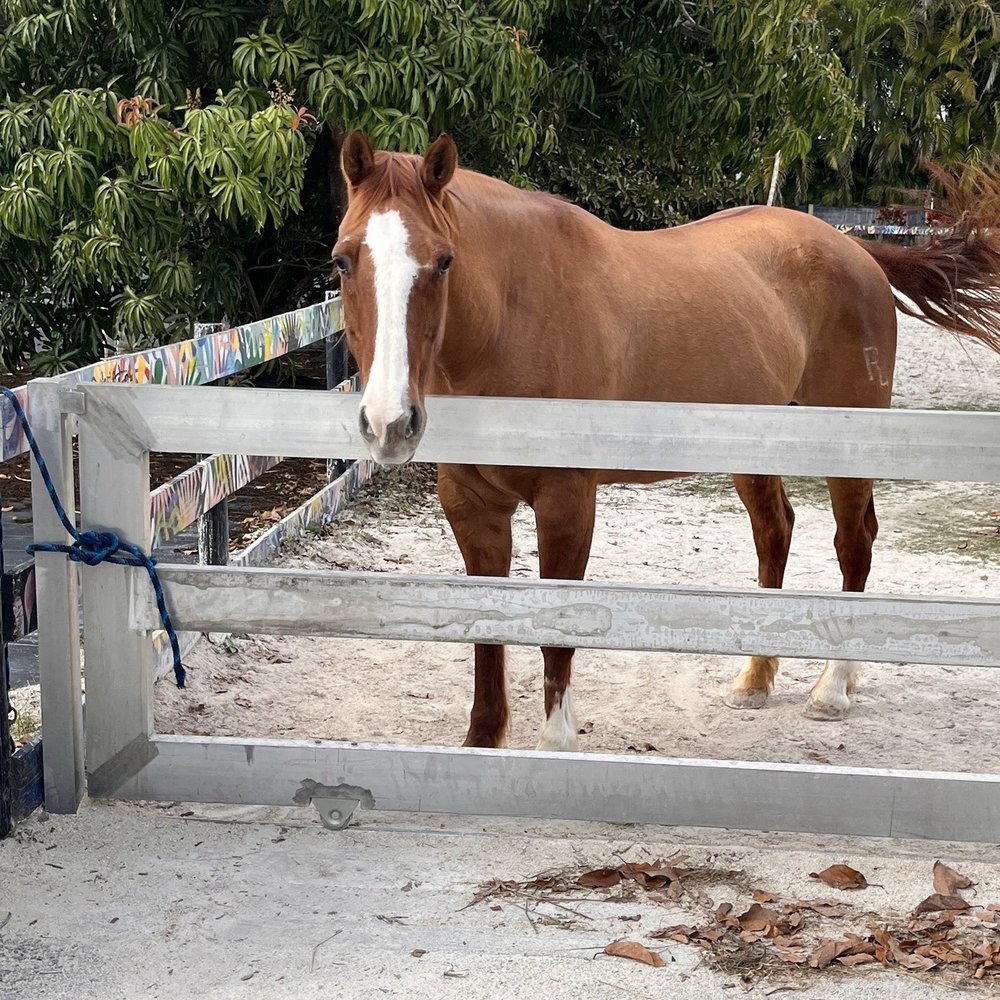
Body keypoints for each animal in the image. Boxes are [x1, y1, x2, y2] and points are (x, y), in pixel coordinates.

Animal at [332, 129, 1000, 751]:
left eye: (444, 261)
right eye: (342, 259)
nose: (389, 422)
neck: (511, 320)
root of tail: (855, 249)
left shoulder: (566, 503)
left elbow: (556, 628)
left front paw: (556, 742)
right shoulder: (472, 508)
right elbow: (486, 625)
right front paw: (483, 739)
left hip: (846, 449)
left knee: (854, 541)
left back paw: (833, 687)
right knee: (775, 531)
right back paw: (755, 679)